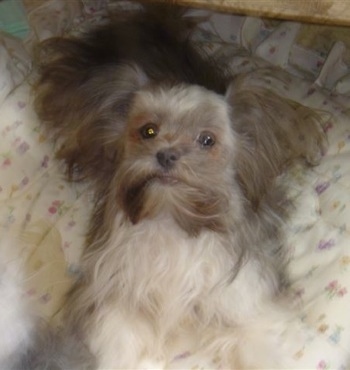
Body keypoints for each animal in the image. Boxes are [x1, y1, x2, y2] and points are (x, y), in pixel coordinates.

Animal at [27, 2, 328, 368]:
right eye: (148, 131)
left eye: (207, 140)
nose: (166, 154)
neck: (173, 221)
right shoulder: (116, 302)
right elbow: (118, 349)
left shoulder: (244, 305)